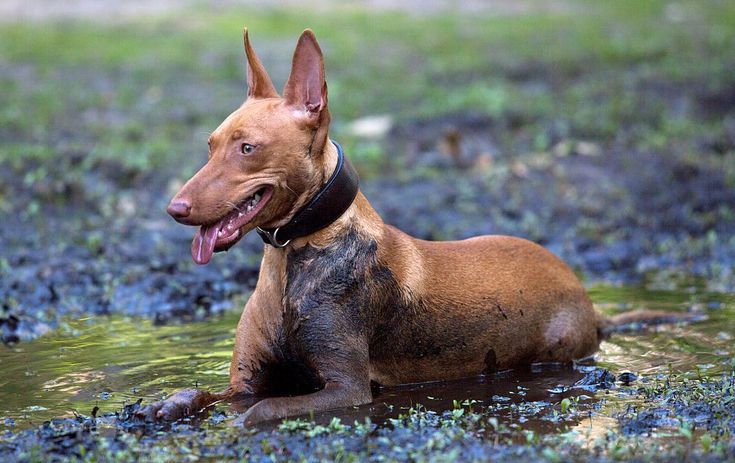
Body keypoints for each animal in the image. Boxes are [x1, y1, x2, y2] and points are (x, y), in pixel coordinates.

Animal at [138, 28, 675, 425]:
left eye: (247, 148)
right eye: (210, 145)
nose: (174, 208)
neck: (295, 254)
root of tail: (590, 304)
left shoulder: (347, 388)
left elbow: (261, 411)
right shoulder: (244, 380)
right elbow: (202, 392)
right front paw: (166, 404)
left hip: (552, 353)